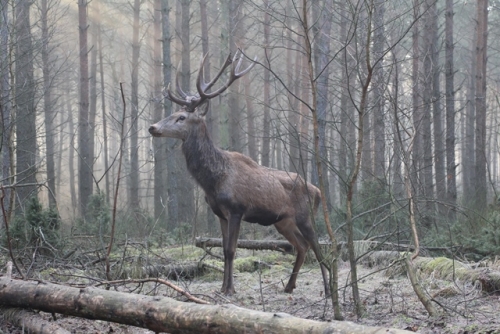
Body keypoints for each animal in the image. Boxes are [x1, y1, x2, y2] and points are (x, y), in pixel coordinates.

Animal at [147, 49, 328, 294]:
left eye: (181, 117)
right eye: (174, 113)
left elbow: (232, 250)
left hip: (305, 215)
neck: (213, 180)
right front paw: (223, 288)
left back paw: (327, 289)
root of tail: (318, 192)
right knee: (301, 245)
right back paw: (289, 286)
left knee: (317, 245)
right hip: (283, 221)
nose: (152, 127)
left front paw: (230, 289)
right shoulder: (220, 214)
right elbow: (224, 251)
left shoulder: (236, 209)